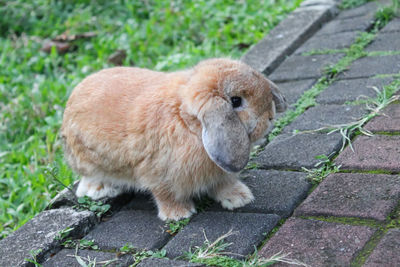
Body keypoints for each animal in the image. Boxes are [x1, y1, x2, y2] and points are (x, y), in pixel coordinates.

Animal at [61, 58, 286, 222]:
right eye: (236, 101)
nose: (270, 117)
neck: (188, 122)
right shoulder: (157, 175)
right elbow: (165, 195)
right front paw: (178, 214)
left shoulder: (220, 173)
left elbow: (224, 184)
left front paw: (240, 199)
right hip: (88, 161)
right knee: (89, 177)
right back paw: (98, 190)